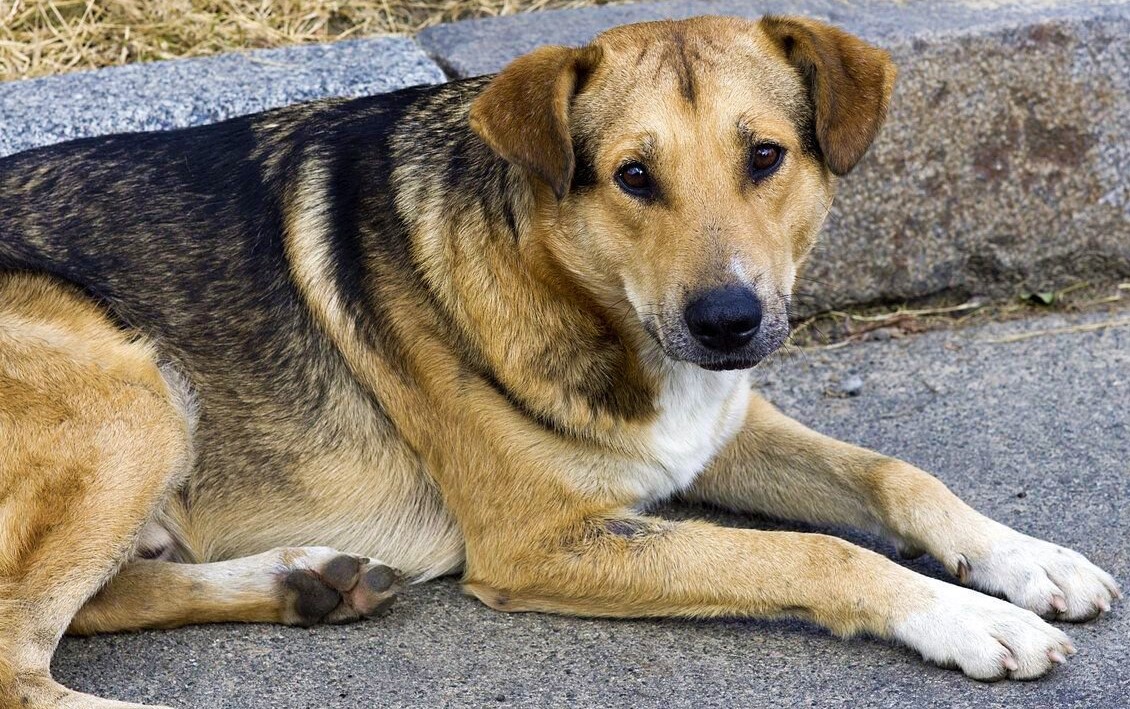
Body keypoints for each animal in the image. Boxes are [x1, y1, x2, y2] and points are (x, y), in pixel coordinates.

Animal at [0, 15, 1121, 708]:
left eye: (765, 156)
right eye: (633, 177)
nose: (727, 322)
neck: (584, 297)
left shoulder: (714, 429)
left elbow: (897, 474)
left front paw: (1023, 558)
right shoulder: (543, 539)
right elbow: (816, 554)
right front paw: (963, 616)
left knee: (93, 604)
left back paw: (301, 582)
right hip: (131, 394)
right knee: (21, 662)